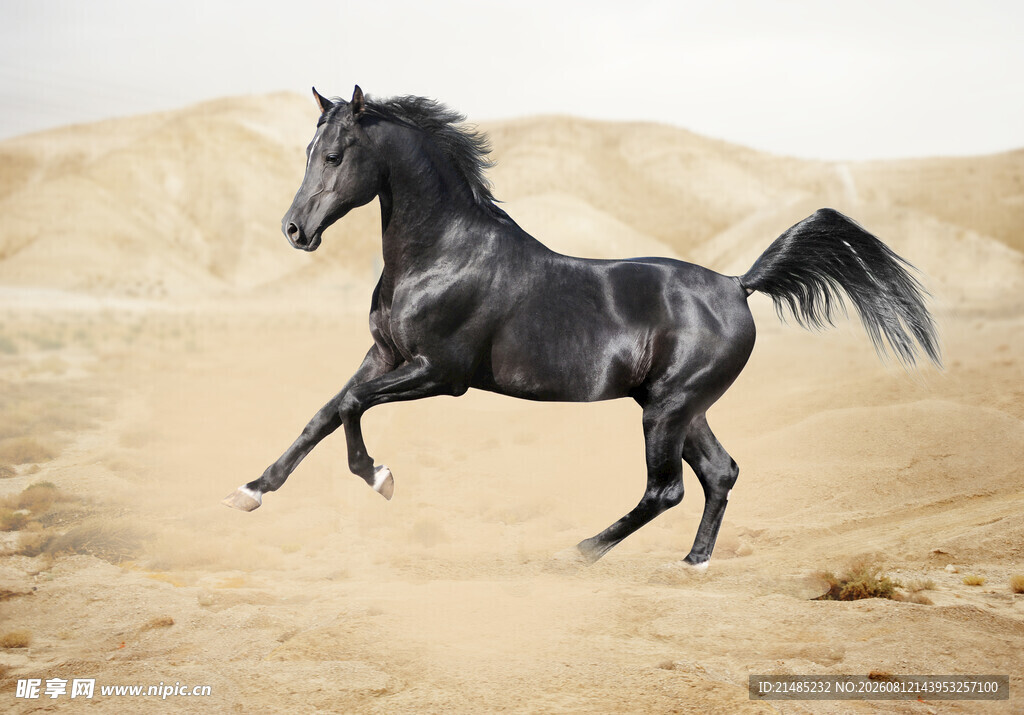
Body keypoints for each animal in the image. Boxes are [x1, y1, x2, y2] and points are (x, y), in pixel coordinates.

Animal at [223, 86, 940, 570]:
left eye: (336, 154)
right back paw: (694, 561)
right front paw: (251, 490)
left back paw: (576, 553)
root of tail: (739, 284)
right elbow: (325, 410)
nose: (294, 230)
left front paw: (379, 476)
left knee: (667, 488)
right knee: (721, 472)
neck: (443, 253)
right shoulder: (383, 354)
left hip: (667, 408)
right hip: (682, 406)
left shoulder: (439, 373)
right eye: (308, 150)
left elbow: (350, 406)